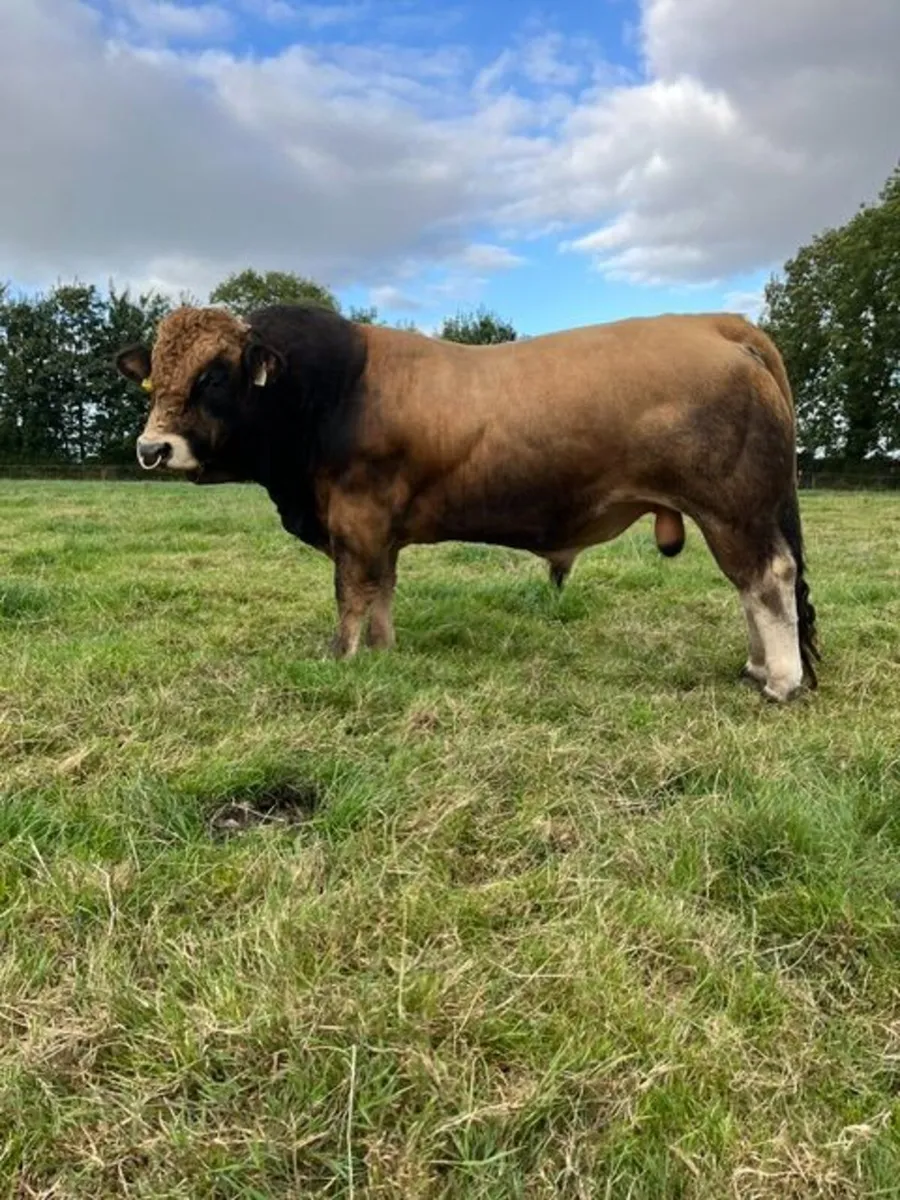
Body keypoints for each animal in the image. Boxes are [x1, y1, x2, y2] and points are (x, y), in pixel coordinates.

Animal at [115, 303, 819, 702]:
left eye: (213, 375)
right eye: (153, 378)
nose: (152, 448)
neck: (330, 389)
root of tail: (715, 324)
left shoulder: (356, 518)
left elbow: (351, 593)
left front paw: (341, 657)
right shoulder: (380, 529)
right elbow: (381, 590)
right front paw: (383, 651)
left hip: (733, 506)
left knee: (767, 578)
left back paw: (780, 681)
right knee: (749, 586)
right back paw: (756, 667)